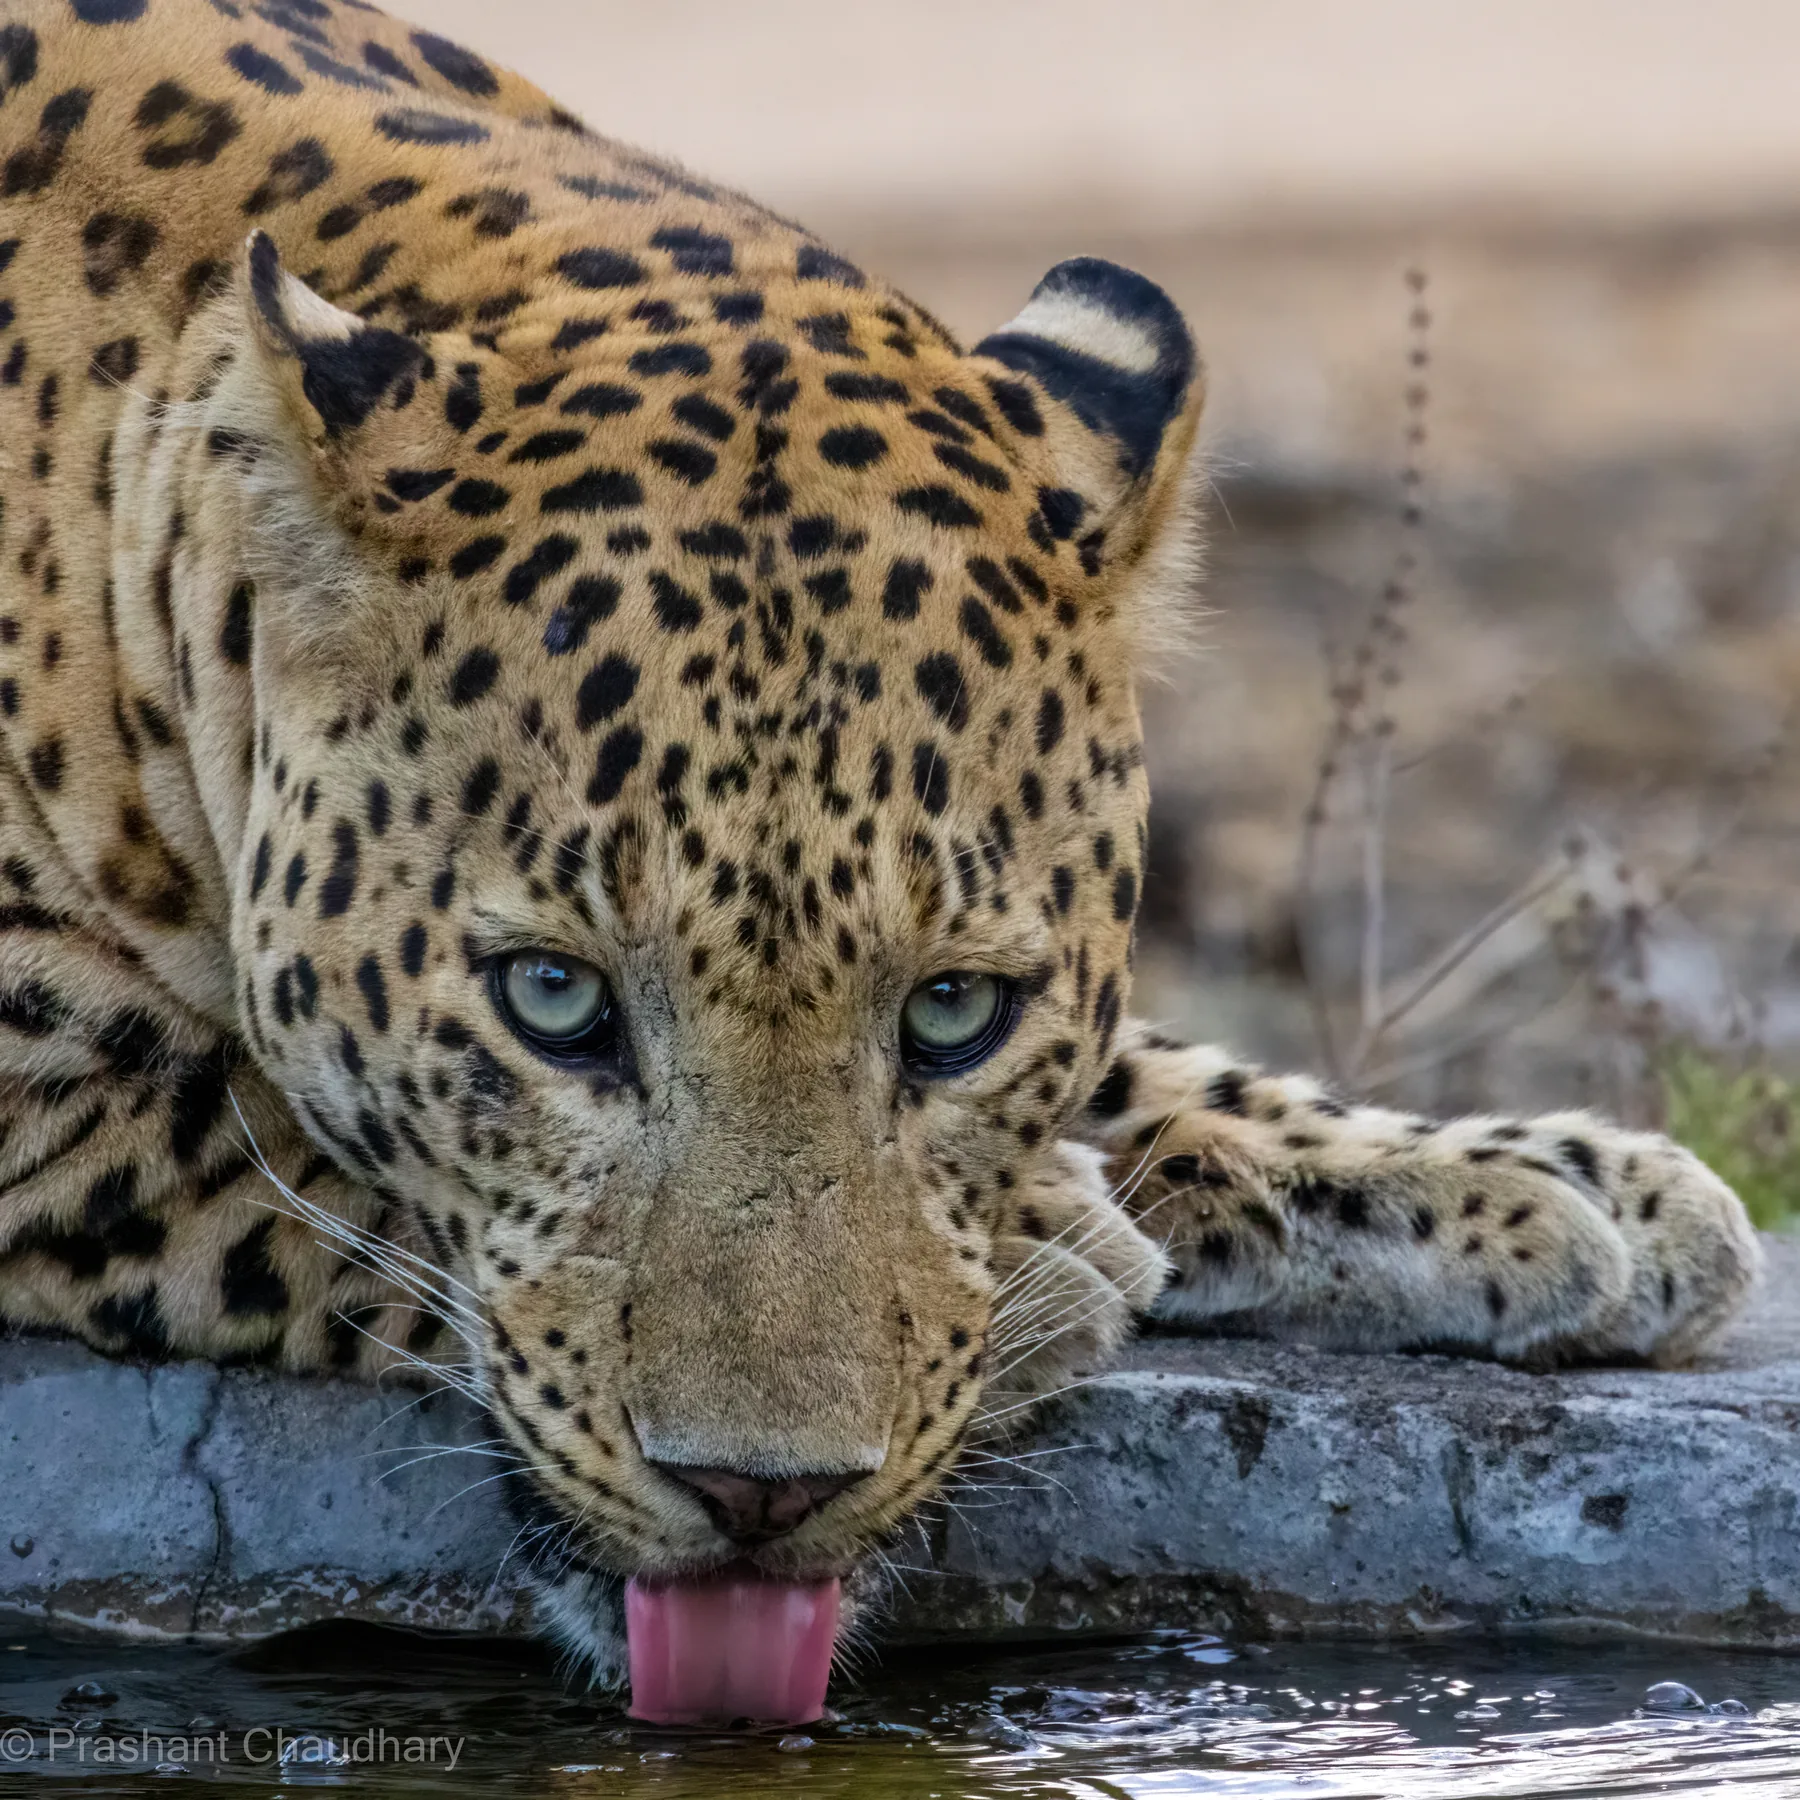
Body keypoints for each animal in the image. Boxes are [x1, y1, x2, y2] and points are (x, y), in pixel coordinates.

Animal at [0, 0, 1761, 1701]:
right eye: (553, 1001)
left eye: (952, 1014)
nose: (759, 1495)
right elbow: (263, 1146)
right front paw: (1060, 1256)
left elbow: (1156, 1062)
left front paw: (1526, 1186)